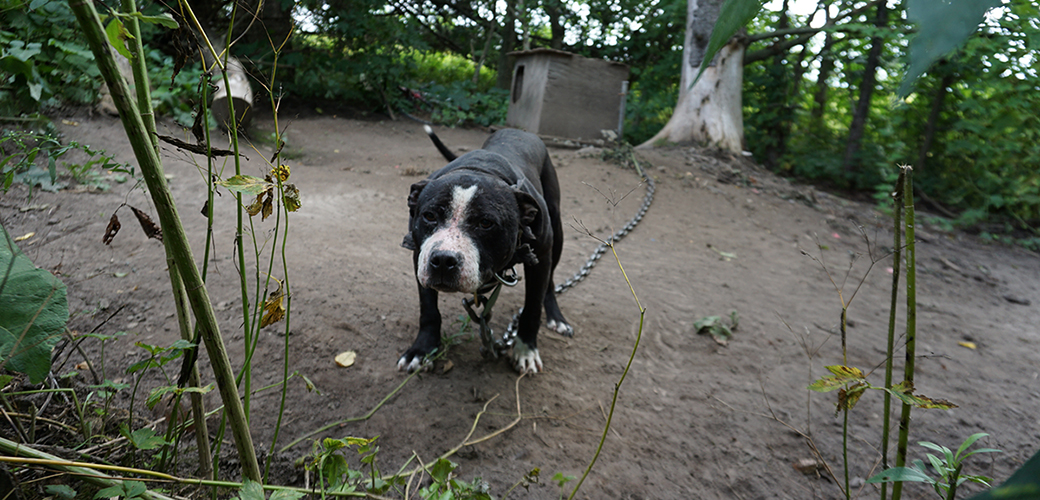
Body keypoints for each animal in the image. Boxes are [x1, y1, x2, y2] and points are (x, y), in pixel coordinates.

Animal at [399, 126, 578, 372]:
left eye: (486, 223)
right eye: (429, 215)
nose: (444, 260)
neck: (480, 169)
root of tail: (520, 130)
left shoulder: (540, 256)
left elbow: (532, 308)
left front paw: (526, 350)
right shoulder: (420, 255)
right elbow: (428, 309)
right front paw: (422, 349)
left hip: (556, 234)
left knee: (549, 282)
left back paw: (556, 317)